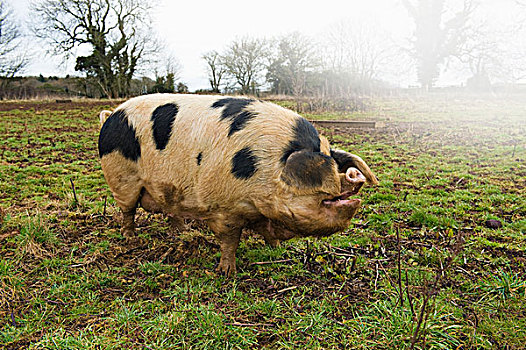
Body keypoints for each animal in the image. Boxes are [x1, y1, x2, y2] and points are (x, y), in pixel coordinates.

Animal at [99, 93, 380, 276]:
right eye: (327, 173)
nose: (354, 174)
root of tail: (111, 115)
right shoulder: (224, 209)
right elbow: (230, 240)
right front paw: (227, 273)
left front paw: (276, 249)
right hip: (121, 178)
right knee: (127, 210)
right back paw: (130, 239)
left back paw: (181, 232)